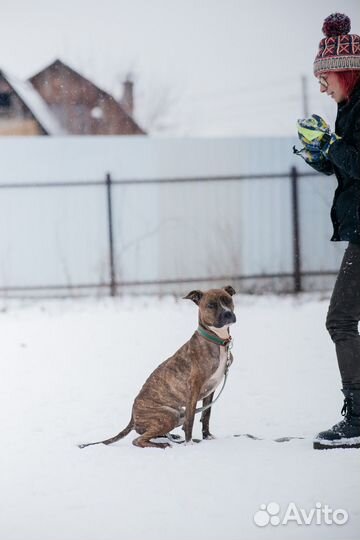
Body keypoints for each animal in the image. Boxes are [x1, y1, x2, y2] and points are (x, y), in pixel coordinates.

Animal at [79, 284, 236, 450]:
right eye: (211, 305)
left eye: (228, 300)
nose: (228, 314)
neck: (217, 341)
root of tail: (133, 417)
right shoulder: (193, 388)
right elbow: (191, 420)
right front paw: (189, 444)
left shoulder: (209, 392)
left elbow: (206, 415)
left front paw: (207, 437)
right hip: (170, 415)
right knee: (139, 440)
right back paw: (163, 444)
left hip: (178, 412)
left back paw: (171, 437)